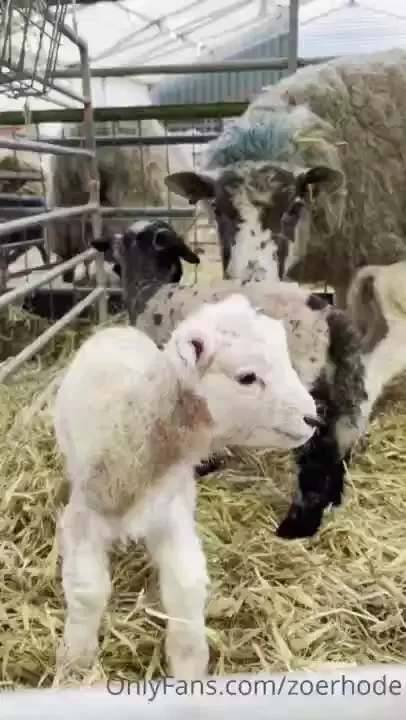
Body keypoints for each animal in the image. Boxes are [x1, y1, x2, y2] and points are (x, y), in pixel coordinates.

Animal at [53, 293, 319, 679]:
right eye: (247, 377)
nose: (313, 418)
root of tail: (115, 329)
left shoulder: (171, 513)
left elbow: (186, 587)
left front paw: (189, 665)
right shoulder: (83, 514)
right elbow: (88, 591)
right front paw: (75, 662)